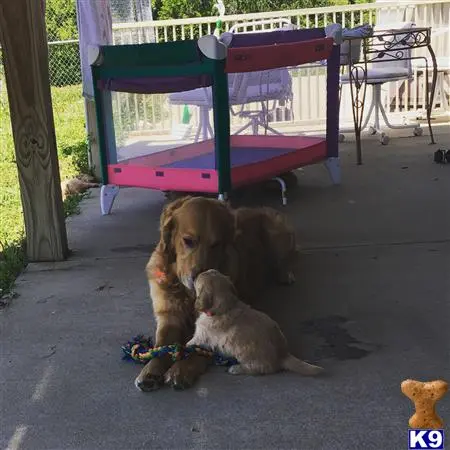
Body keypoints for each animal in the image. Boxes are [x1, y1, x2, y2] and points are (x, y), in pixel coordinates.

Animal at [135, 196, 300, 390]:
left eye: (215, 244)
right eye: (188, 240)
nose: (198, 276)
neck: (187, 293)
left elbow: (202, 346)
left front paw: (181, 369)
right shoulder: (169, 316)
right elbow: (162, 345)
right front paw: (150, 370)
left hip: (277, 234)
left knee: (286, 260)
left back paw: (285, 274)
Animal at [186, 270, 324, 376]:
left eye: (198, 279)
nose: (194, 275)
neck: (226, 306)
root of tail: (283, 354)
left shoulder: (202, 334)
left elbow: (191, 341)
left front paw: (185, 346)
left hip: (245, 352)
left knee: (261, 368)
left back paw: (236, 368)